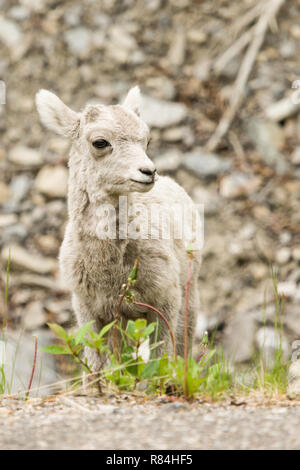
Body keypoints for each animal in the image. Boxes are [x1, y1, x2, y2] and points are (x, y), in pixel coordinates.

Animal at [36, 86, 203, 374]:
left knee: (183, 348)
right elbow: (96, 368)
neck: (109, 270)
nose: (149, 171)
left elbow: (159, 361)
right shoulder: (89, 311)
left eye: (146, 140)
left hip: (187, 297)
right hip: (123, 320)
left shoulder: (165, 304)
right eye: (100, 142)